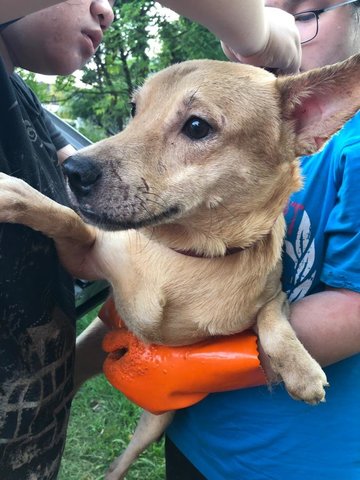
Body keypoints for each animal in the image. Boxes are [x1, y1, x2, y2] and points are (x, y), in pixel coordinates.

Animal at [0, 54, 358, 478]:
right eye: (135, 110)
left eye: (197, 127)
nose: (72, 169)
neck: (185, 258)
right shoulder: (83, 255)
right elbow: (65, 217)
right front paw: (16, 194)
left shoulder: (274, 299)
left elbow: (272, 322)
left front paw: (301, 369)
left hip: (154, 425)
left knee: (117, 466)